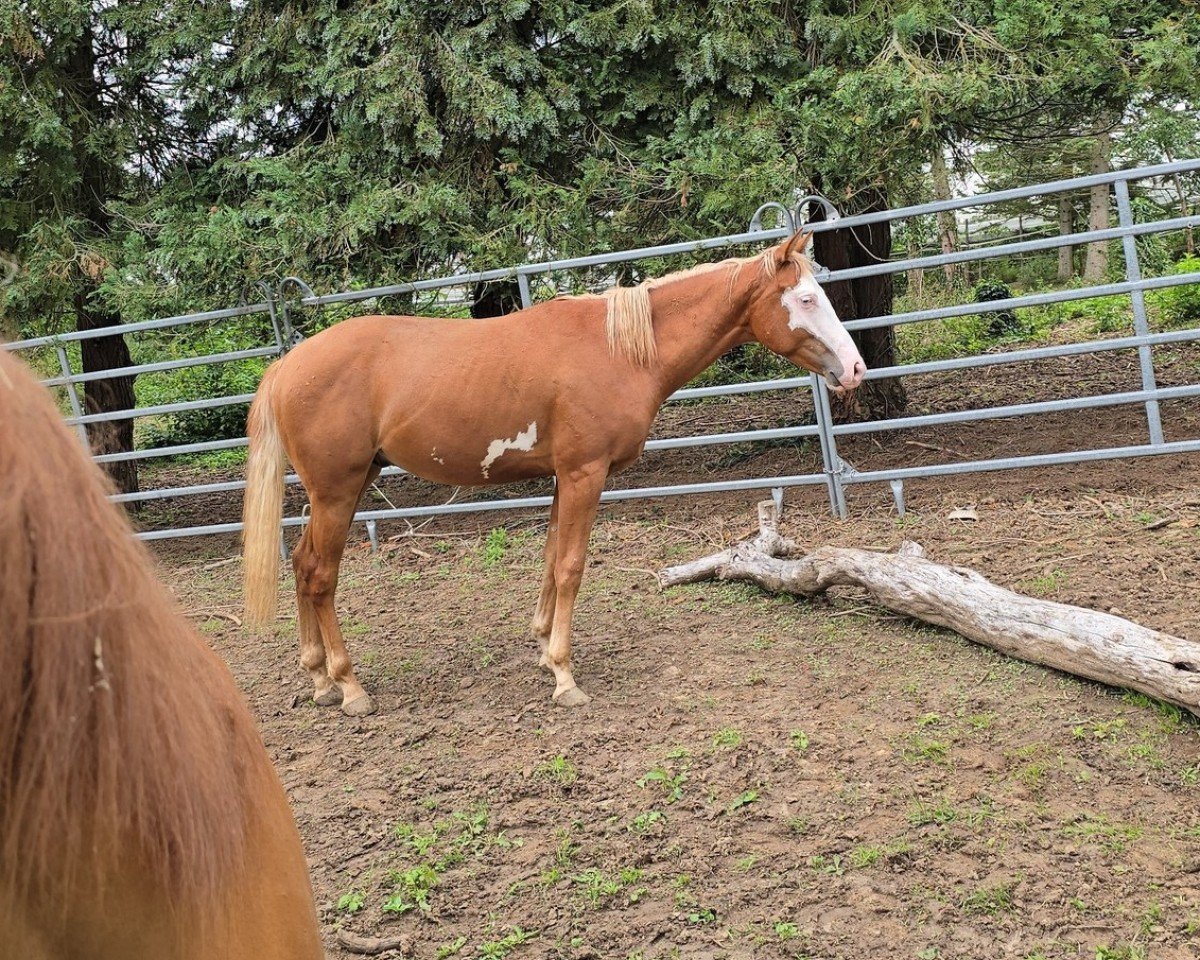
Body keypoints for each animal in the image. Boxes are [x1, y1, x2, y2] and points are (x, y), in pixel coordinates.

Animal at [242, 231, 866, 716]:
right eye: (806, 297)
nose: (855, 368)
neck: (618, 350)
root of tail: (286, 366)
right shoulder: (586, 474)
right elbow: (570, 566)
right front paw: (565, 676)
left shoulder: (564, 478)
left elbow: (547, 561)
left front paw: (544, 650)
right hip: (337, 492)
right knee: (320, 576)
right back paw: (349, 687)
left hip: (339, 492)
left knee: (301, 566)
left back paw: (319, 679)